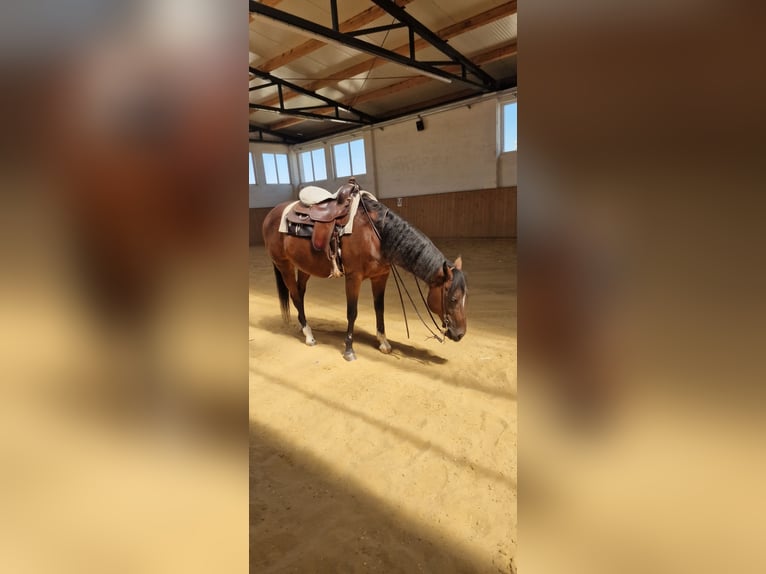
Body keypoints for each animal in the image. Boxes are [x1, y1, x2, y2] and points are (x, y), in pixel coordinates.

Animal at [262, 187, 467, 361]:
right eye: (453, 299)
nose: (460, 334)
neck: (377, 235)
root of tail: (271, 214)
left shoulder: (380, 276)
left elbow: (379, 308)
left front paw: (383, 342)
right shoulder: (354, 277)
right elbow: (352, 312)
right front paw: (349, 350)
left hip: (305, 267)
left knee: (300, 294)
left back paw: (302, 326)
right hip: (284, 265)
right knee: (295, 296)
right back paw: (309, 336)